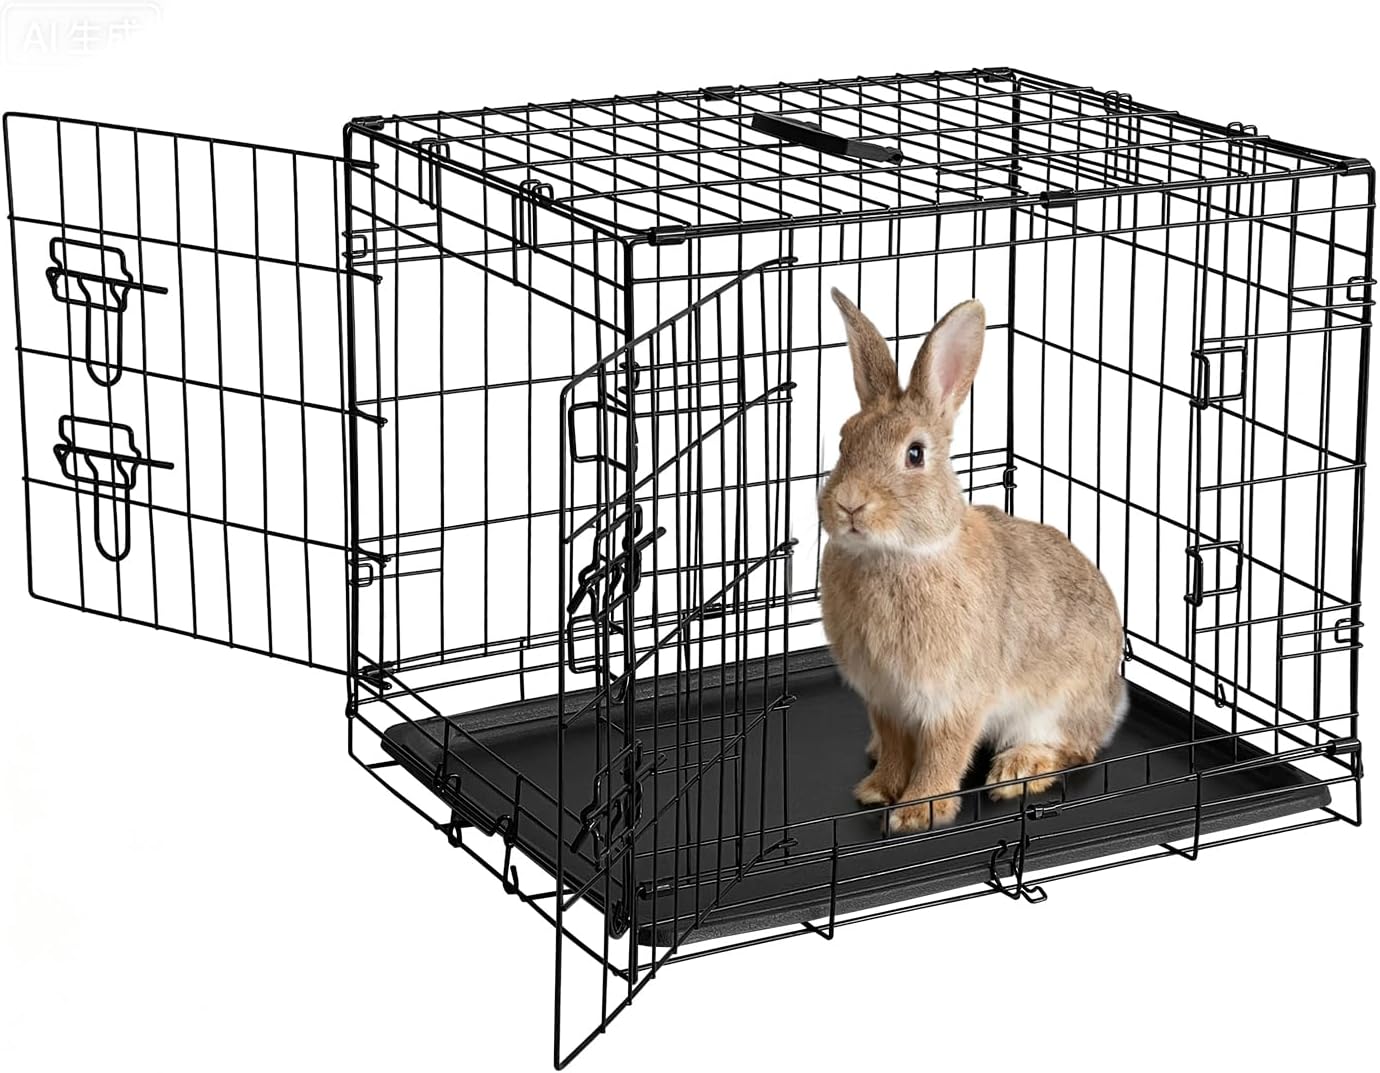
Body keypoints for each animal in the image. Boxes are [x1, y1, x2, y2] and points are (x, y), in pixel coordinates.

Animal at [818, 290, 1127, 834]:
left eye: (915, 454)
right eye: (843, 441)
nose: (850, 504)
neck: (897, 555)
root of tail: (1113, 700)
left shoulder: (955, 696)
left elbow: (944, 752)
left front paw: (918, 811)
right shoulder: (885, 699)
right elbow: (896, 745)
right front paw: (878, 790)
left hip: (1057, 703)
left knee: (1076, 748)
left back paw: (1018, 769)